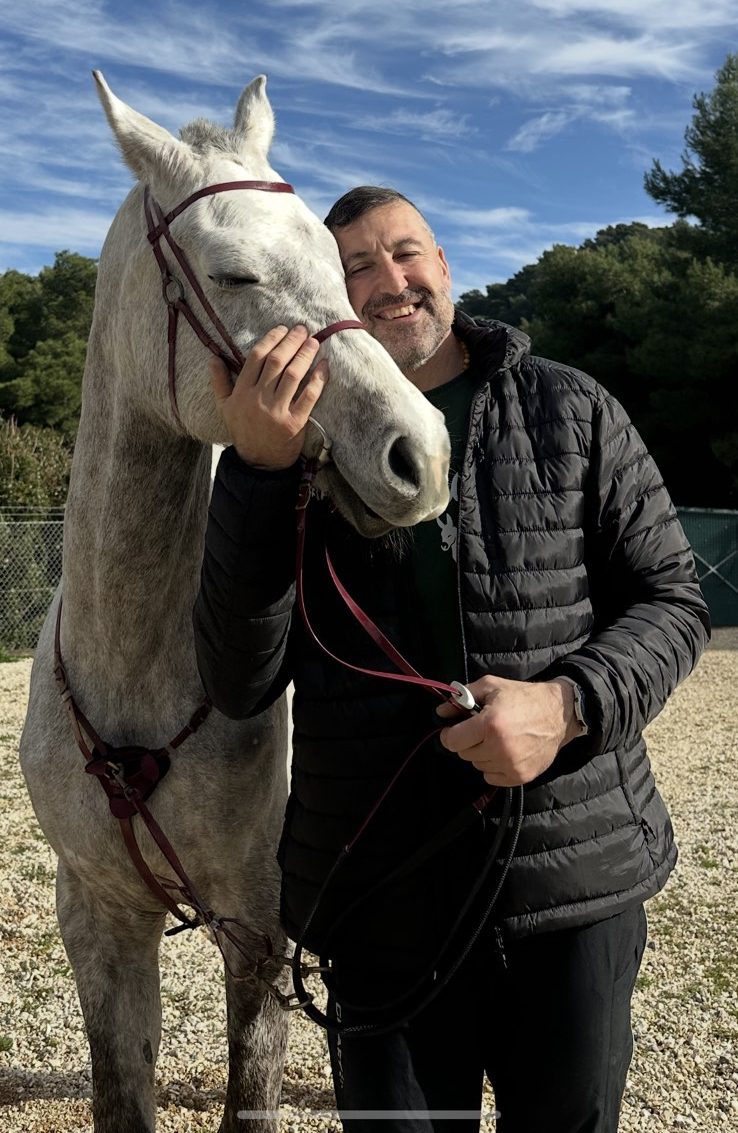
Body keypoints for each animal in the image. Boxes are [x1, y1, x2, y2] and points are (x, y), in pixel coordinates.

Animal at [19, 71, 450, 1133]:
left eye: (338, 270)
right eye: (238, 276)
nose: (422, 455)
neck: (140, 665)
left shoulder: (259, 930)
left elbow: (251, 1097)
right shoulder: (98, 921)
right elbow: (119, 1094)